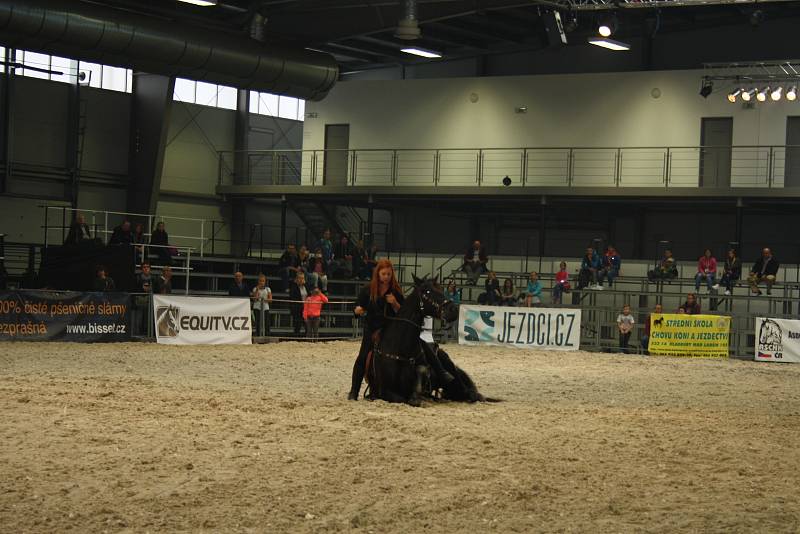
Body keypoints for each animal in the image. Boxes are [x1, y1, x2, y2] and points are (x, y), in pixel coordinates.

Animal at [368, 276, 494, 406]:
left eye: (441, 289)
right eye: (427, 291)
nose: (453, 310)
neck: (401, 350)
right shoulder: (383, 392)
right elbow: (402, 398)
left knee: (470, 394)